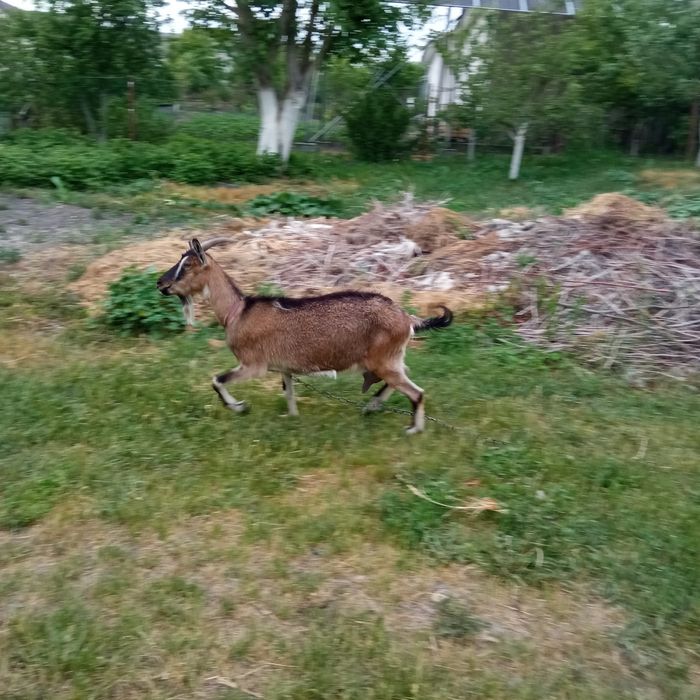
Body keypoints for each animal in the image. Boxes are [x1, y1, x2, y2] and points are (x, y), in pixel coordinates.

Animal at [156, 238, 453, 434]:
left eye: (187, 266)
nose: (161, 283)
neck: (237, 312)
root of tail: (407, 318)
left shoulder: (254, 364)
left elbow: (217, 380)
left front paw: (240, 407)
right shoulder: (284, 367)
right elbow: (288, 392)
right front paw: (292, 417)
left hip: (383, 360)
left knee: (417, 392)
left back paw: (413, 429)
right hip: (389, 359)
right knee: (401, 379)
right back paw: (373, 406)